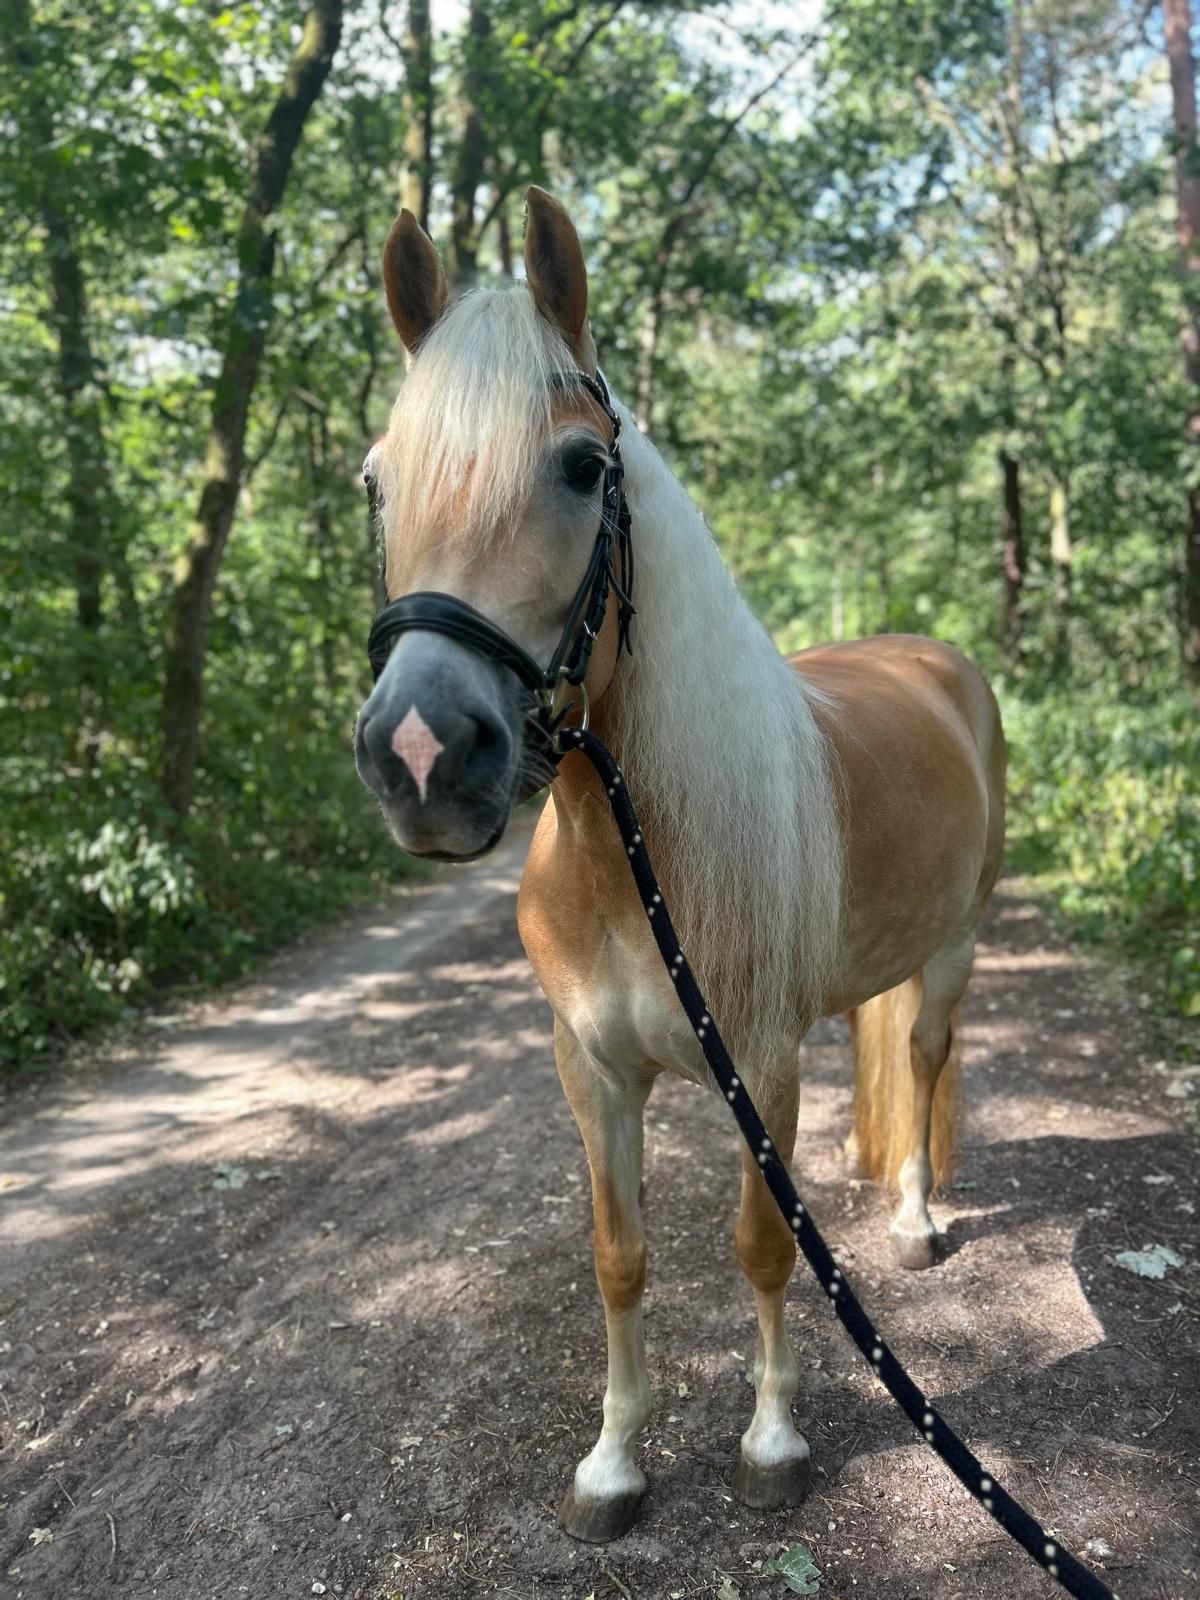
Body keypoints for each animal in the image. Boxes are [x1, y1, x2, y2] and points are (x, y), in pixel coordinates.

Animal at [354, 187, 1006, 1544]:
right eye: (378, 480)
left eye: (583, 466)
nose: (423, 753)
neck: (631, 864)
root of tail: (933, 659)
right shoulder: (591, 1067)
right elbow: (619, 1254)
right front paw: (612, 1462)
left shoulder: (758, 1059)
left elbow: (762, 1243)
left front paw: (771, 1442)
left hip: (958, 944)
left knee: (922, 1056)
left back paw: (915, 1218)